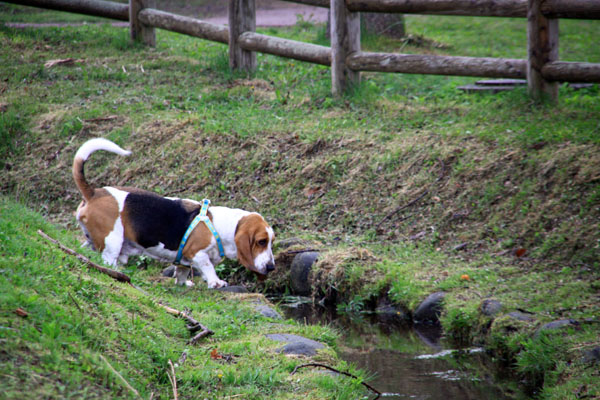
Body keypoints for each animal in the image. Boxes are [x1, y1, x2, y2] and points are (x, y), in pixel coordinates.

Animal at [71, 138, 276, 288]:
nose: (271, 267)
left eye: (271, 241)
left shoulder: (184, 260)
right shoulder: (196, 253)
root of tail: (94, 192)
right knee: (108, 260)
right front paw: (216, 282)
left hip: (92, 240)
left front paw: (183, 283)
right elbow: (208, 267)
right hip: (112, 241)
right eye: (261, 242)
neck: (221, 226)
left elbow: (182, 271)